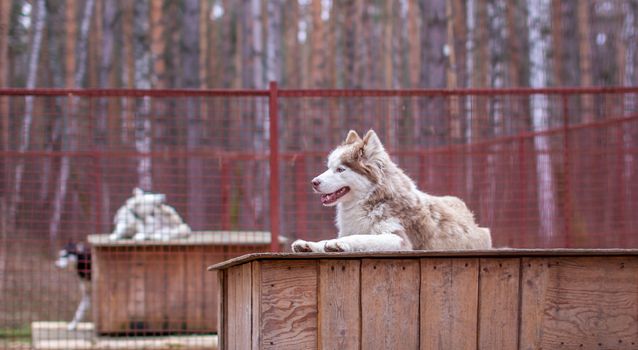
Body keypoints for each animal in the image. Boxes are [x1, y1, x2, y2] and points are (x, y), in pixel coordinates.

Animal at [292, 130, 492, 253]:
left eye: (340, 169)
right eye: (328, 167)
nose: (313, 182)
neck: (371, 200)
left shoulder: (399, 239)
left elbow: (363, 238)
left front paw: (337, 243)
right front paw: (309, 244)